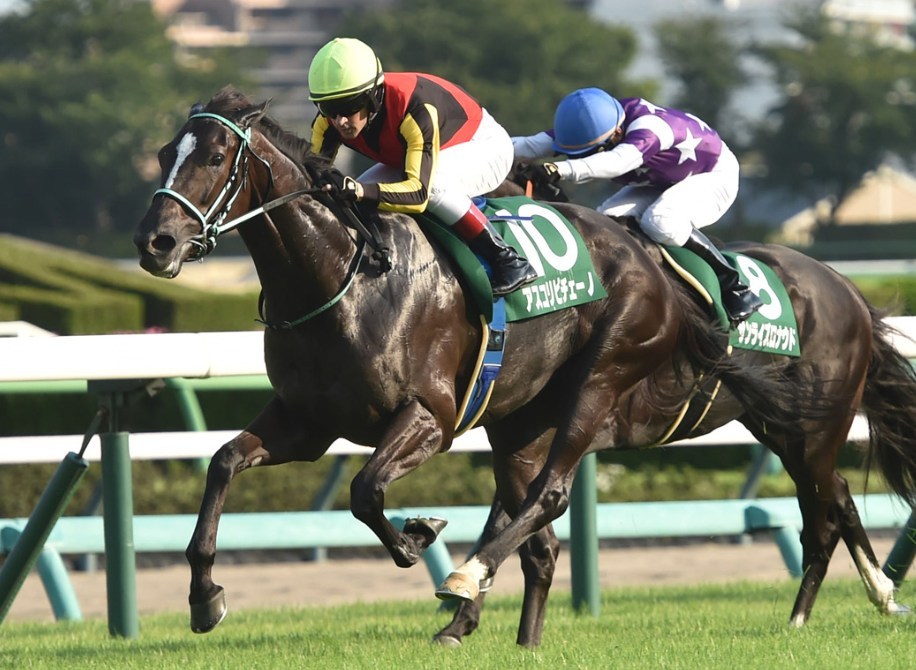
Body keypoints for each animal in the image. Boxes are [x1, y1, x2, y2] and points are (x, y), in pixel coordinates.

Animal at [134, 87, 916, 647]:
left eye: (213, 158)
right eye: (167, 151)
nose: (155, 243)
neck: (350, 276)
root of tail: (847, 290)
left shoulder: (429, 418)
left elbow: (364, 490)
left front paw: (419, 539)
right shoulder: (307, 422)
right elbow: (223, 464)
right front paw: (205, 598)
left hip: (660, 393)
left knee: (567, 496)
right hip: (625, 422)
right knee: (826, 502)